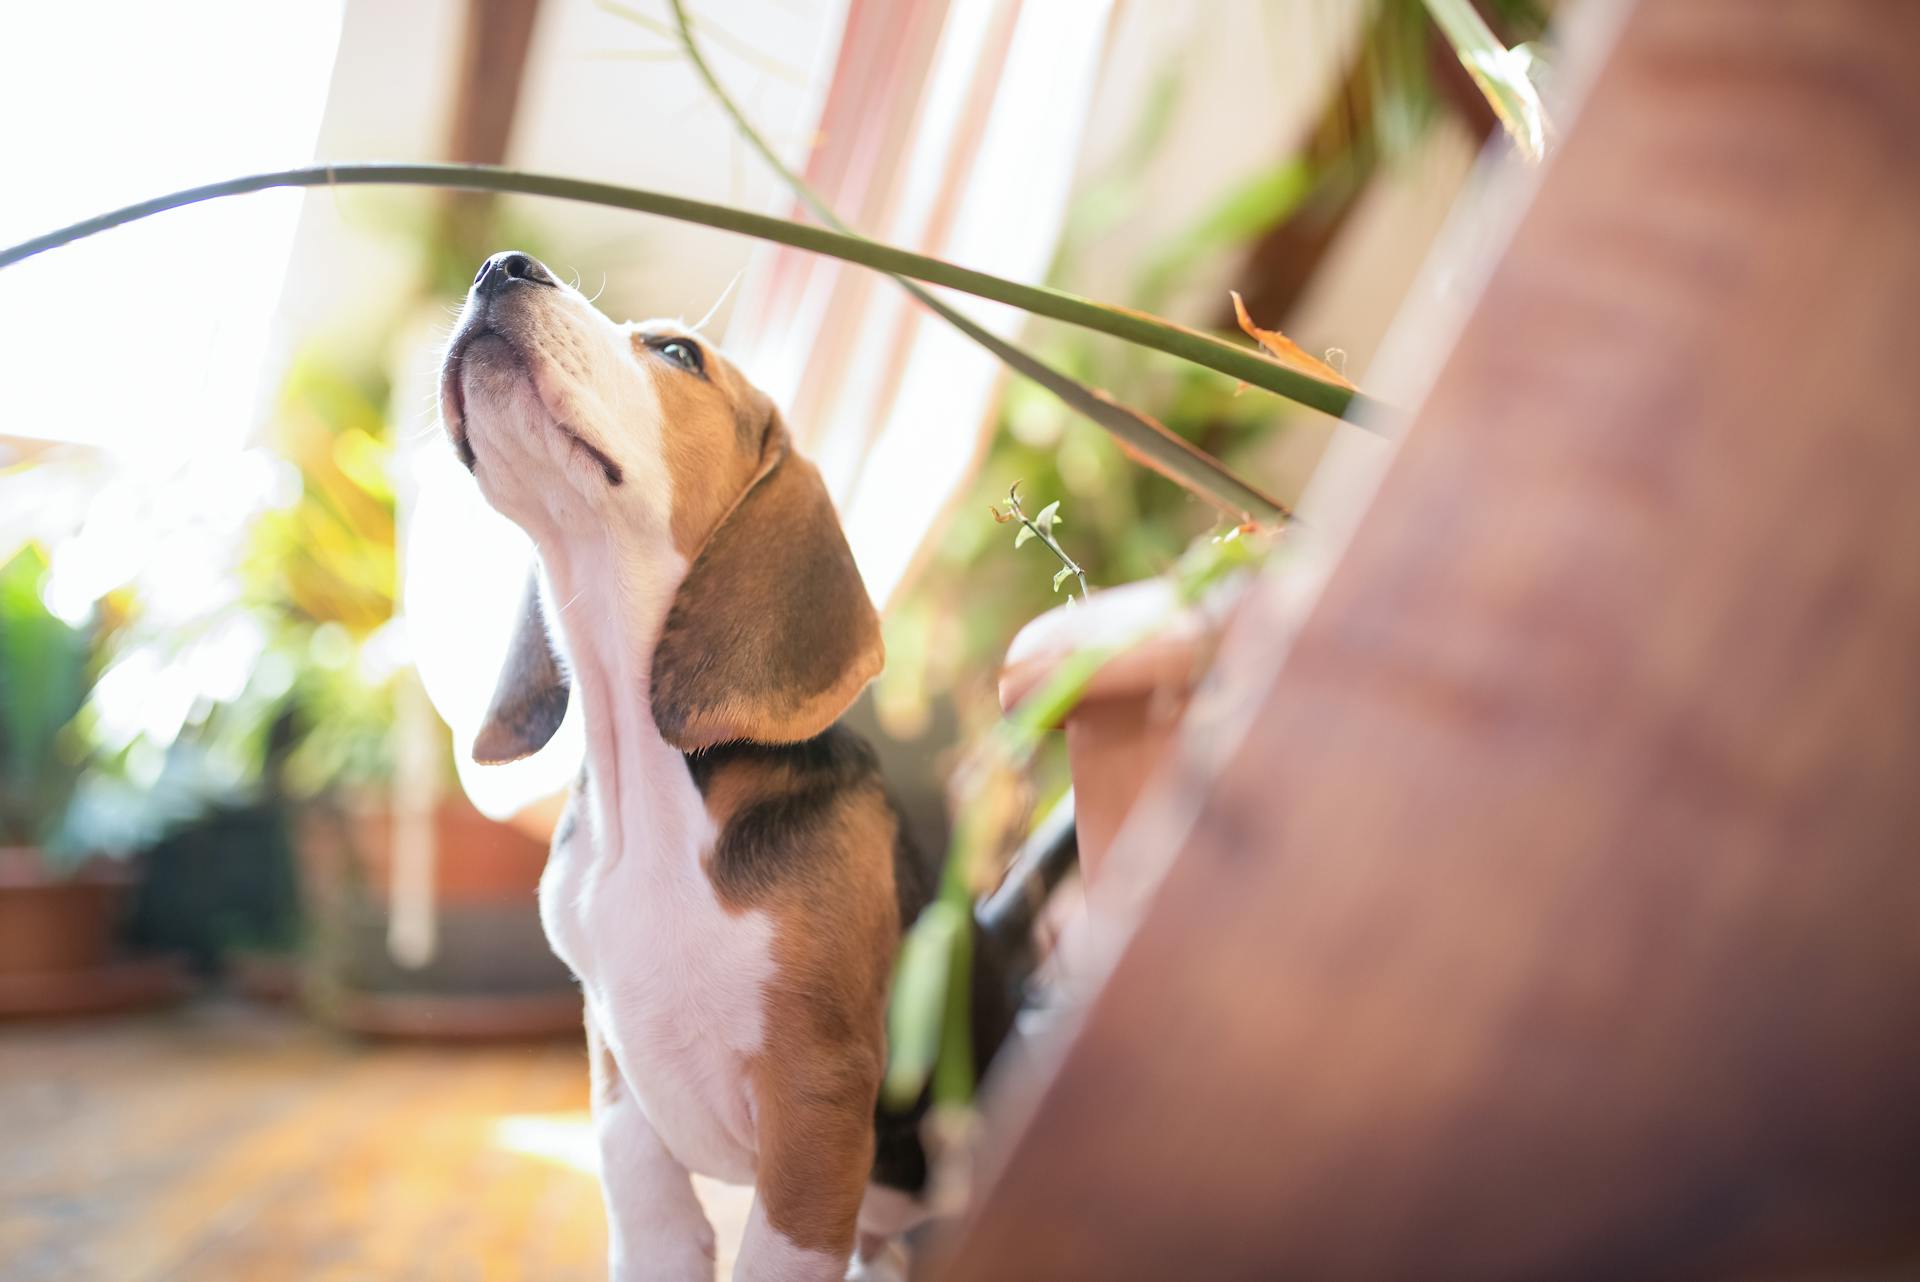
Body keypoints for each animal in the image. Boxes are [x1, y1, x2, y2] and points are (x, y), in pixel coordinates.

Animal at [435, 253, 1006, 1282]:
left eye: (674, 353)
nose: (502, 266)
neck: (651, 790)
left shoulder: (816, 1107)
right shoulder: (619, 1095)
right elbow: (652, 1224)